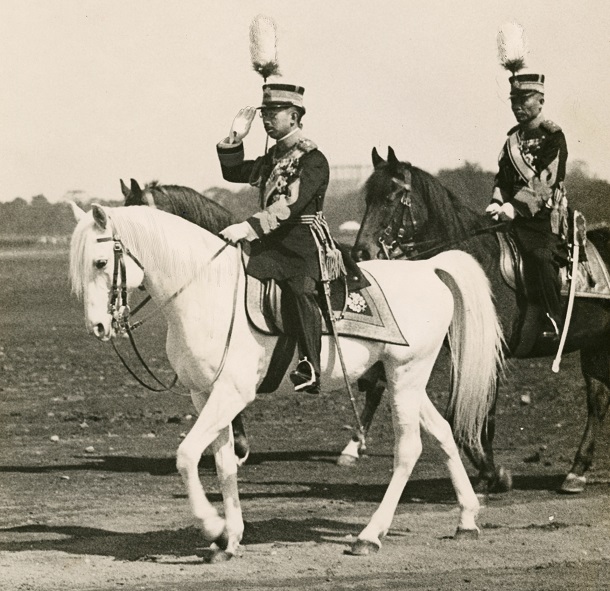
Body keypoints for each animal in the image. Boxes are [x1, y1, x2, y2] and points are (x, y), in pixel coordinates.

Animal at [67, 206, 504, 560]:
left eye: (101, 262)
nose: (98, 327)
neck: (206, 292)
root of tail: (428, 268)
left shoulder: (231, 394)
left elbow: (187, 455)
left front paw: (213, 526)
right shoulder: (204, 394)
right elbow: (224, 464)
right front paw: (230, 539)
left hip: (406, 374)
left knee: (409, 449)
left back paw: (369, 535)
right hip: (403, 380)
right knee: (443, 432)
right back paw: (466, 520)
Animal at [346, 148, 608, 494]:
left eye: (390, 197)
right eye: (367, 199)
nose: (361, 253)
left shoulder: (489, 353)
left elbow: (476, 416)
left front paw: (493, 474)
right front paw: (488, 473)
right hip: (595, 347)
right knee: (598, 400)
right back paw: (576, 472)